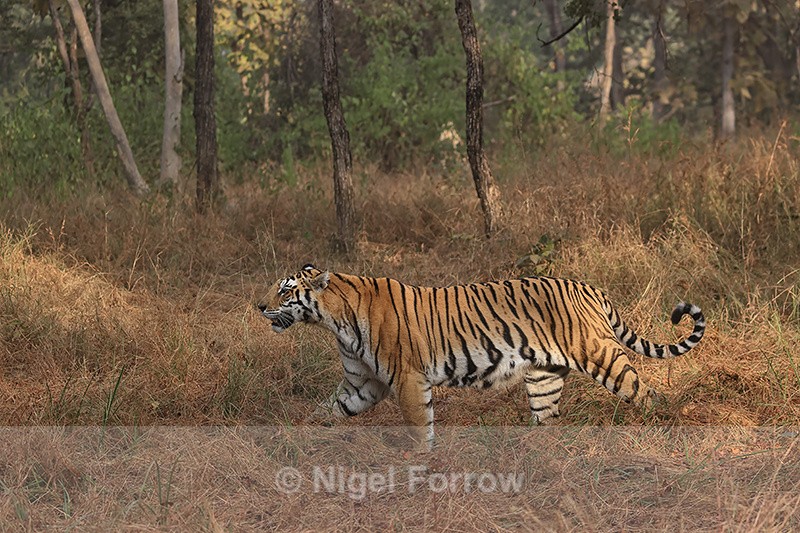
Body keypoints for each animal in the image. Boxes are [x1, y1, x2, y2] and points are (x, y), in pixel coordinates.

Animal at [258, 264, 705, 448]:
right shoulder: (364, 384)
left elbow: (419, 425)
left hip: (602, 357)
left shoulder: (407, 379)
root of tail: (590, 287)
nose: (259, 306)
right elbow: (330, 409)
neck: (333, 321)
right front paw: (295, 433)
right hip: (543, 376)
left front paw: (419, 464)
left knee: (648, 396)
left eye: (285, 291)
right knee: (548, 421)